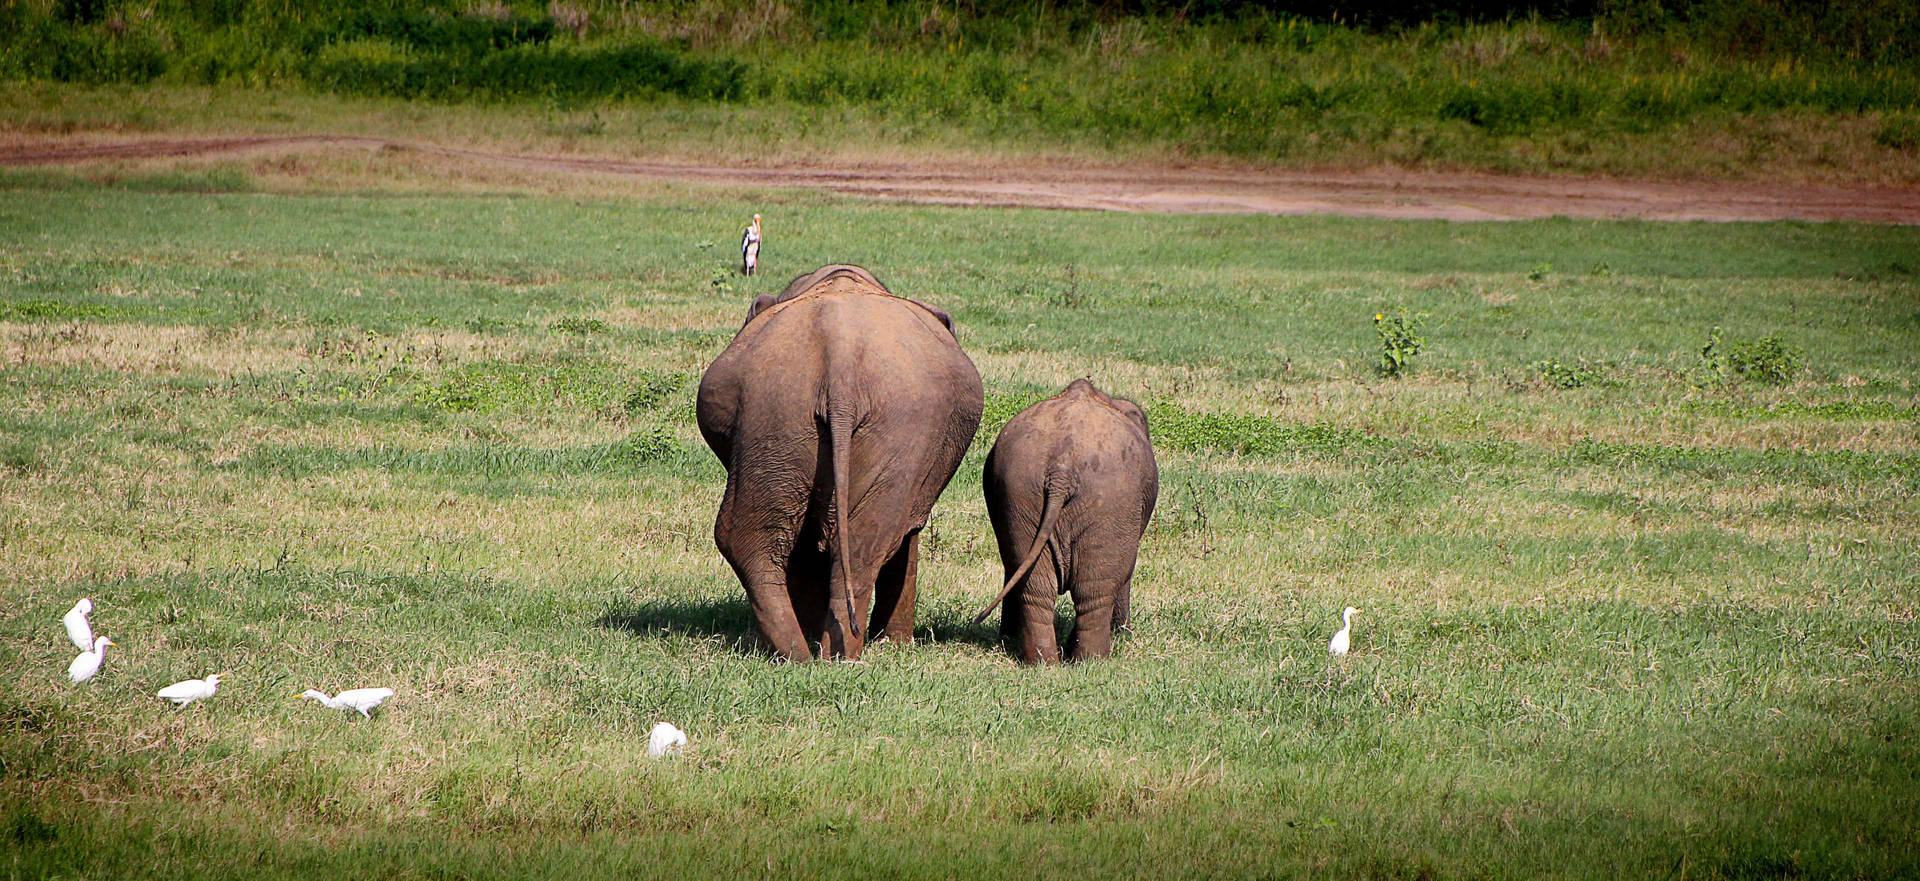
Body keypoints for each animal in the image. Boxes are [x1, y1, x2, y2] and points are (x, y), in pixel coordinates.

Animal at [697, 265, 985, 662]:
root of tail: (841, 354)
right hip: (819, 415)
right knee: (863, 537)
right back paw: (825, 653)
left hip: (782, 412)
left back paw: (808, 653)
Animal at [973, 379, 1159, 664]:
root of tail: (1061, 468)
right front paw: (1122, 634)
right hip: (1112, 501)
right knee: (1094, 591)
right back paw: (1092, 661)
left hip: (1020, 494)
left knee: (1034, 587)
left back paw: (1042, 662)